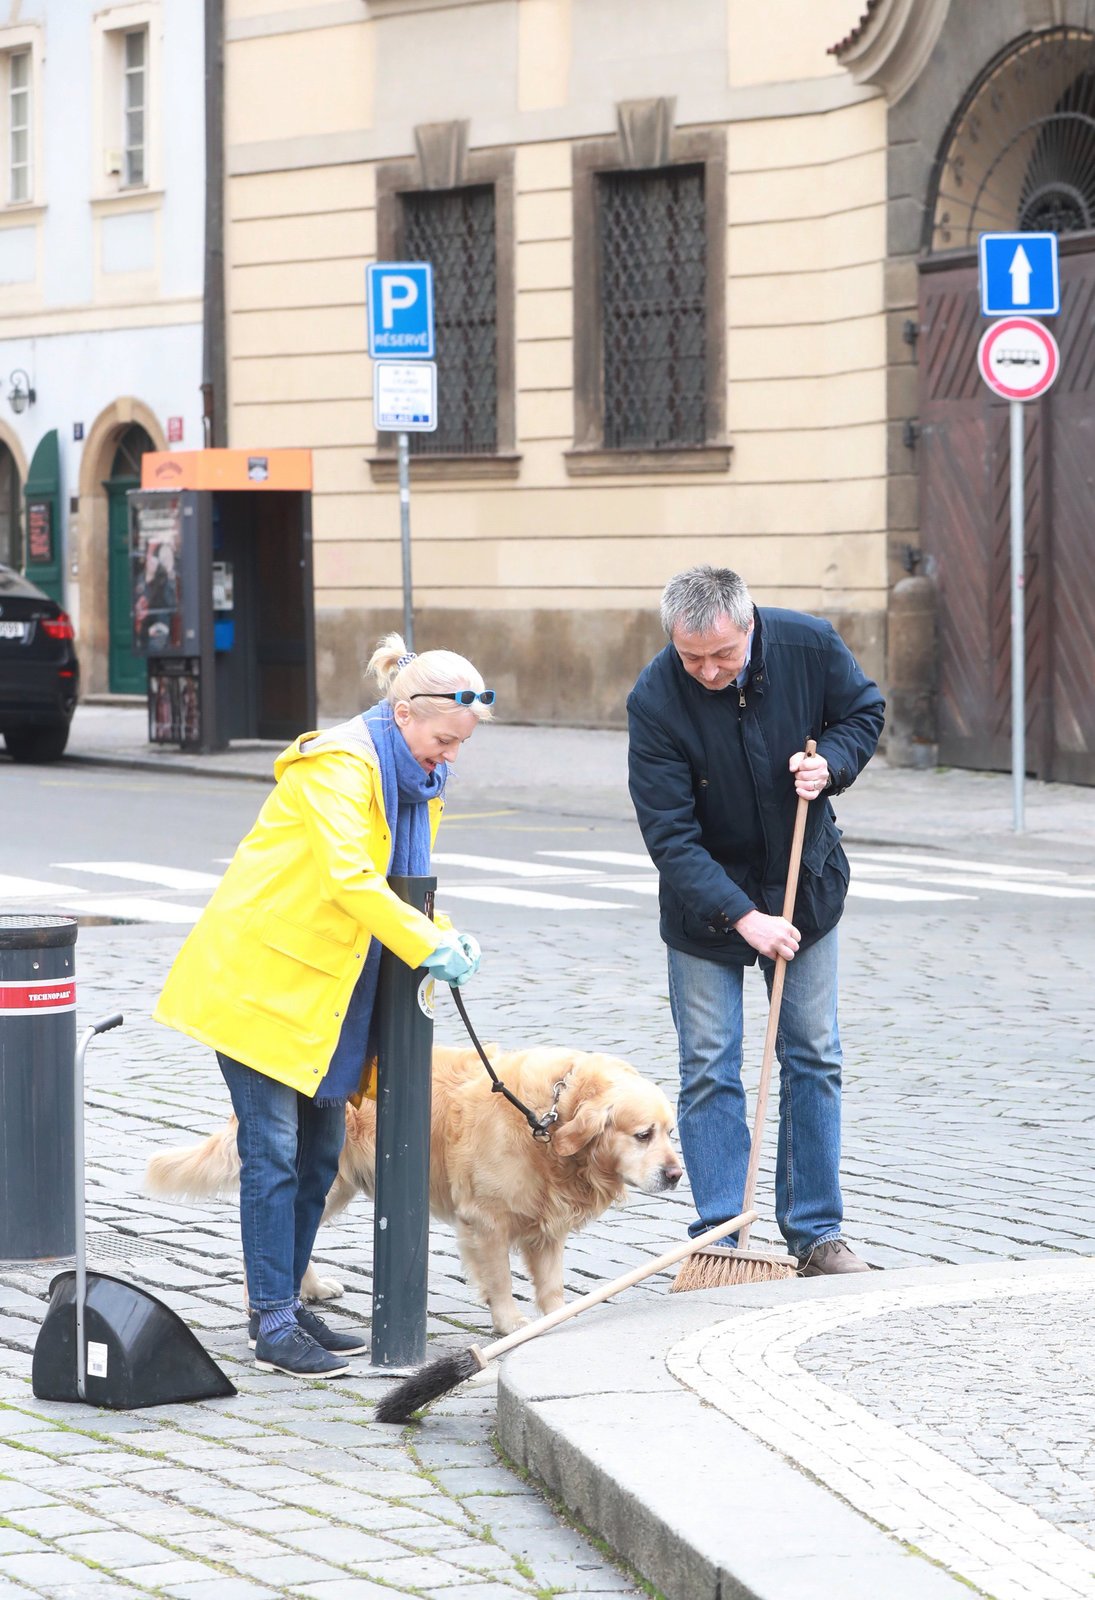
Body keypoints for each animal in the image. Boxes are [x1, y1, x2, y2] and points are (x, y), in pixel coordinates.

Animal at [142, 1043, 678, 1331]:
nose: (675, 1175)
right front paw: (509, 1324)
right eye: (643, 1134)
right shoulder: (485, 1222)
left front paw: (557, 1318)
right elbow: (501, 1281)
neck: (547, 1117)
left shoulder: (547, 1227)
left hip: (330, 1183)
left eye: (672, 1133)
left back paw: (309, 1290)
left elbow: (551, 1285)